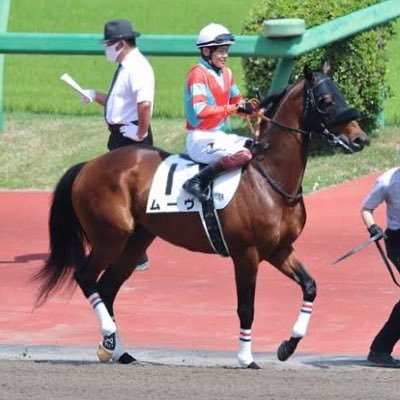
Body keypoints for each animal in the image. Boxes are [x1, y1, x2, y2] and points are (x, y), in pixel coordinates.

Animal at [34, 63, 368, 368]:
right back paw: (108, 336)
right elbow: (247, 308)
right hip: (110, 238)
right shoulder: (246, 254)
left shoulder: (279, 249)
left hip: (136, 240)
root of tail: (89, 165)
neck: (269, 177)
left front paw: (287, 346)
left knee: (107, 288)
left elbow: (310, 286)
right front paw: (246, 358)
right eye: (326, 100)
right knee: (85, 277)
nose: (360, 139)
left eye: (341, 93)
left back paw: (116, 348)